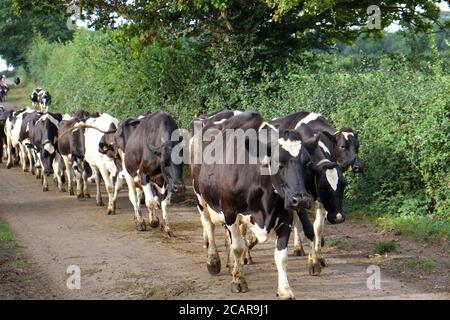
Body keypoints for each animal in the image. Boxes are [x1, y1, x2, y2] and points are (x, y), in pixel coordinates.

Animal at [190, 111, 316, 298]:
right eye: (278, 162)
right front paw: (238, 281)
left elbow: (281, 256)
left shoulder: (285, 217)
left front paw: (285, 290)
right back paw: (213, 261)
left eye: (307, 163)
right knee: (209, 226)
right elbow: (238, 247)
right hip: (201, 199)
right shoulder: (230, 212)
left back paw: (230, 264)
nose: (300, 199)